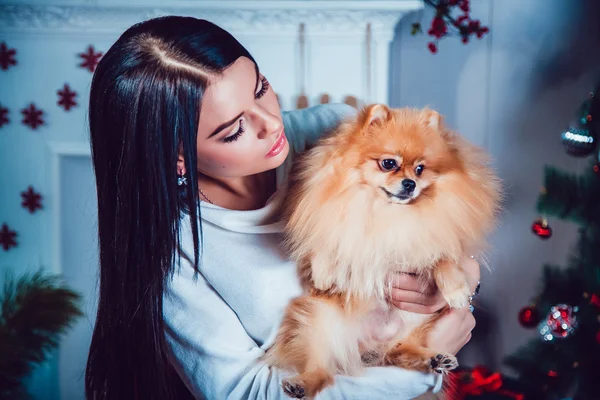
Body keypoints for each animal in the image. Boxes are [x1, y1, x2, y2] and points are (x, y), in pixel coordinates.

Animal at [264, 104, 504, 398]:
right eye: (389, 163)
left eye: (420, 169)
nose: (410, 183)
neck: (385, 211)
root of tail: (370, 347)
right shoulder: (332, 219)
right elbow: (326, 242)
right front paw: (322, 274)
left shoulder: (435, 238)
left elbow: (444, 259)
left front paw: (457, 291)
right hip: (319, 322)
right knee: (322, 369)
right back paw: (302, 383)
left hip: (419, 322)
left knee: (399, 352)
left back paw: (433, 358)